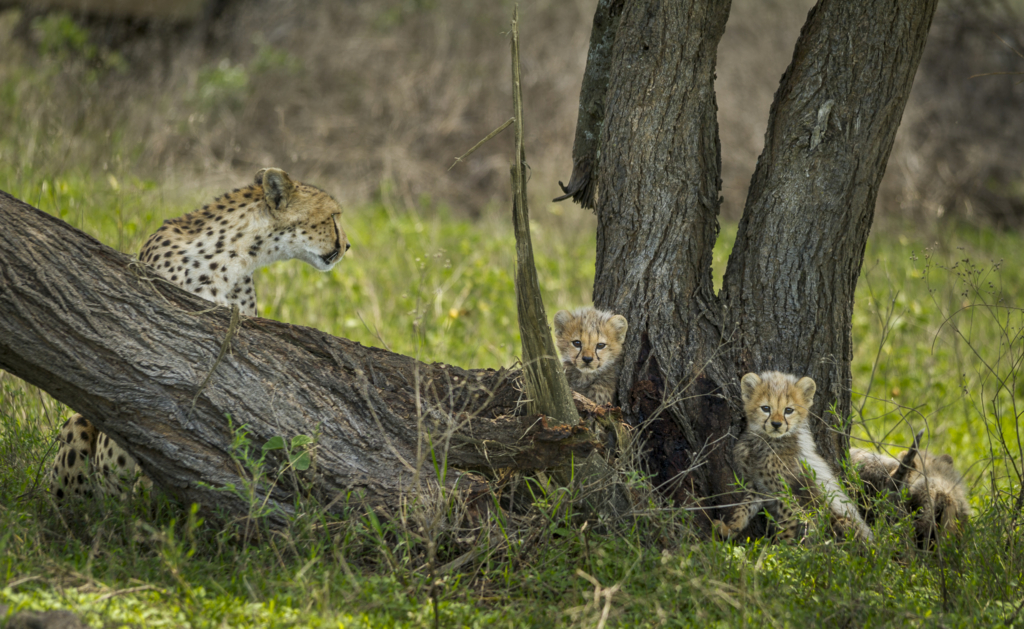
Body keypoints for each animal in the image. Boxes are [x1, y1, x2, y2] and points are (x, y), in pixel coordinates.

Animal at [712, 372, 872, 544]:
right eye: (766, 408)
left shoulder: (788, 495)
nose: (776, 424)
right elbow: (744, 508)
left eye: (788, 410)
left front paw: (781, 550)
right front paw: (730, 529)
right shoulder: (758, 487)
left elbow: (786, 529)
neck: (766, 442)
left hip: (843, 523)